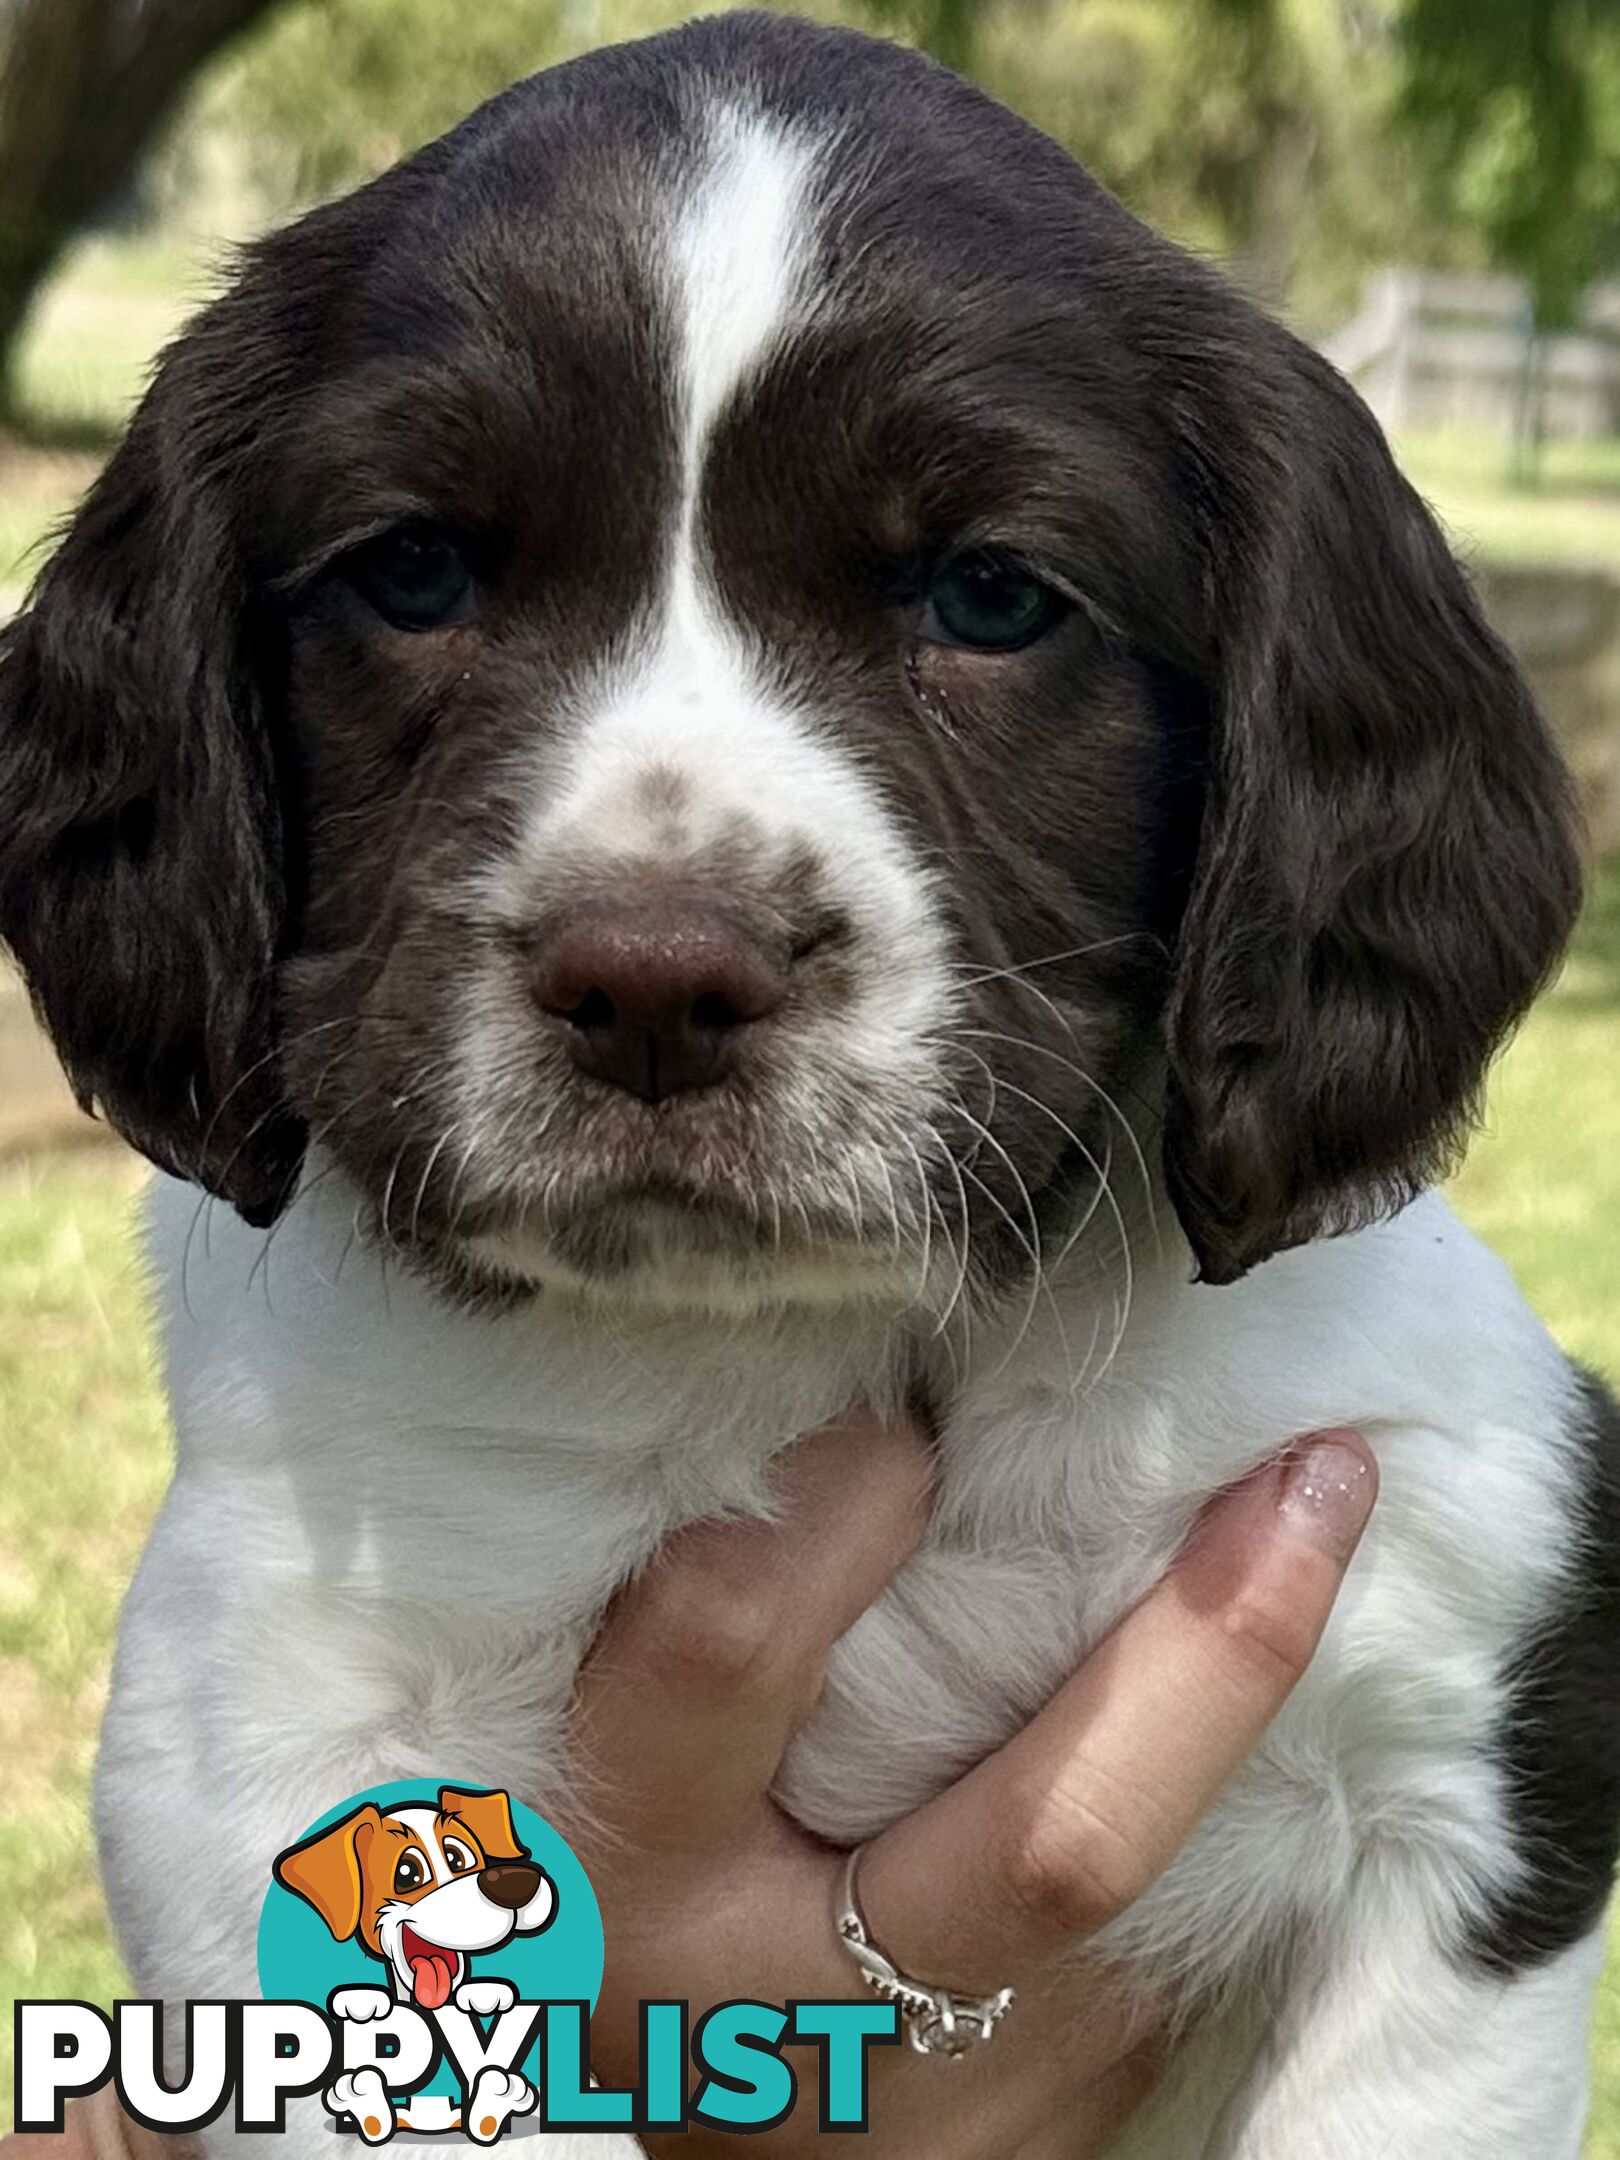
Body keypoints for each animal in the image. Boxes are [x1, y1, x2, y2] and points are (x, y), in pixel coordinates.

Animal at [3, 16, 1620, 2160]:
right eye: (413, 572)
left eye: (994, 598)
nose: (655, 982)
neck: (808, 1340)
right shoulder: (256, 1707)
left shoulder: (1455, 1712)